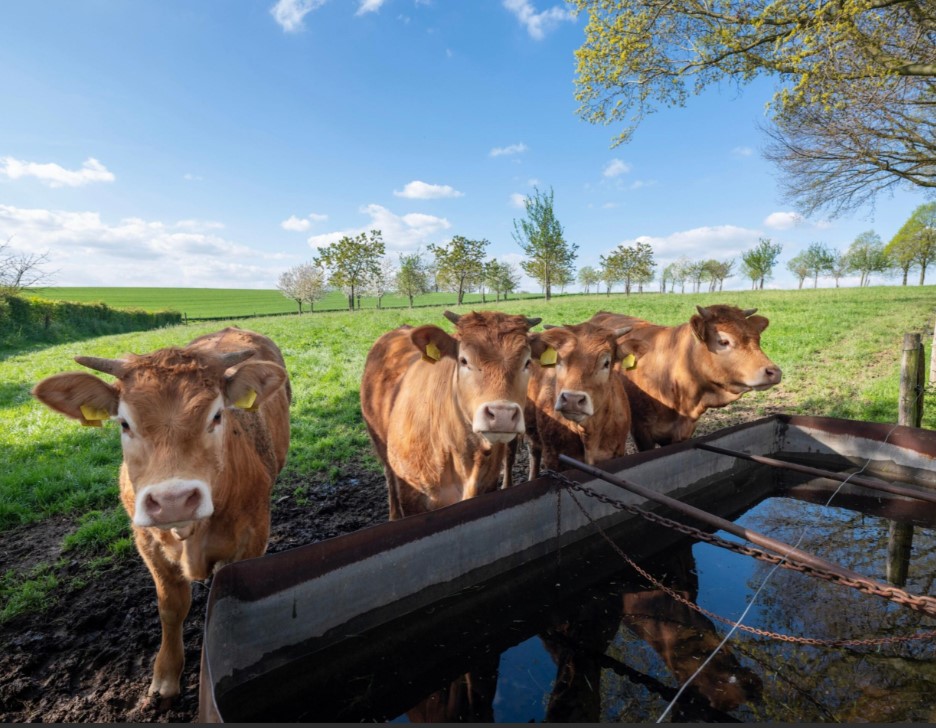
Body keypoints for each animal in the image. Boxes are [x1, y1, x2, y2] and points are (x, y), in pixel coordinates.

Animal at [31, 327, 291, 708]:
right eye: (124, 423)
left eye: (217, 416)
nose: (173, 501)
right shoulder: (147, 543)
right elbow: (171, 606)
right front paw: (165, 678)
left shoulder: (253, 535)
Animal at [360, 310, 546, 520]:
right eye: (464, 360)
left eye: (527, 362)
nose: (502, 415)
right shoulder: (411, 495)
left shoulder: (489, 487)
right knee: (389, 477)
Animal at [524, 321, 647, 479]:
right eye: (558, 361)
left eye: (606, 363)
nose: (572, 399)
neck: (589, 434)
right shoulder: (553, 458)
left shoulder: (617, 451)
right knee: (534, 451)